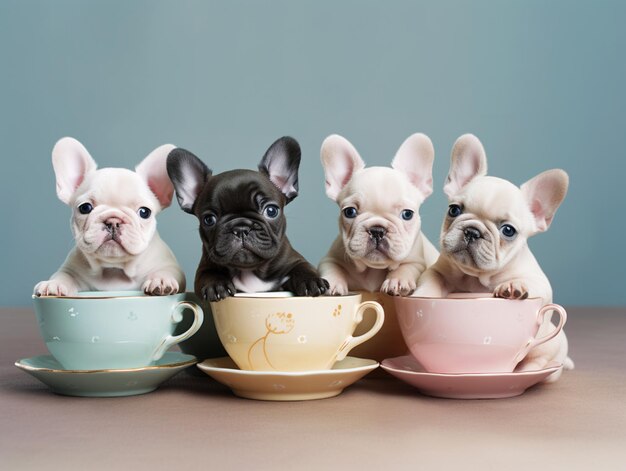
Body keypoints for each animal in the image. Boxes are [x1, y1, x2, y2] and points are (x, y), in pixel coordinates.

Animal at [33, 138, 185, 296]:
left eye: (144, 212)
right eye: (85, 208)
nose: (113, 221)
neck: (114, 269)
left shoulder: (169, 265)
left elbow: (166, 271)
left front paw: (161, 280)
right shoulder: (71, 269)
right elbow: (63, 275)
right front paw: (54, 284)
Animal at [166, 136, 326, 302]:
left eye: (271, 211)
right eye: (209, 219)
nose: (241, 228)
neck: (249, 270)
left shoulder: (293, 259)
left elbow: (303, 267)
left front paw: (311, 281)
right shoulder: (204, 268)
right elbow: (209, 274)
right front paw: (216, 285)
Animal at [320, 133, 436, 296]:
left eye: (407, 214)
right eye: (349, 212)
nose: (377, 230)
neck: (373, 269)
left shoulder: (418, 261)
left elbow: (406, 266)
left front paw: (397, 281)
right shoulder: (329, 258)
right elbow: (332, 267)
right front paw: (333, 284)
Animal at [412, 134, 572, 380]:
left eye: (508, 230)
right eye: (454, 210)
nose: (472, 231)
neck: (476, 277)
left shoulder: (541, 283)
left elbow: (529, 283)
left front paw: (513, 286)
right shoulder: (439, 269)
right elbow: (432, 279)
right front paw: (425, 294)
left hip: (549, 348)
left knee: (540, 363)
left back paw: (526, 370)